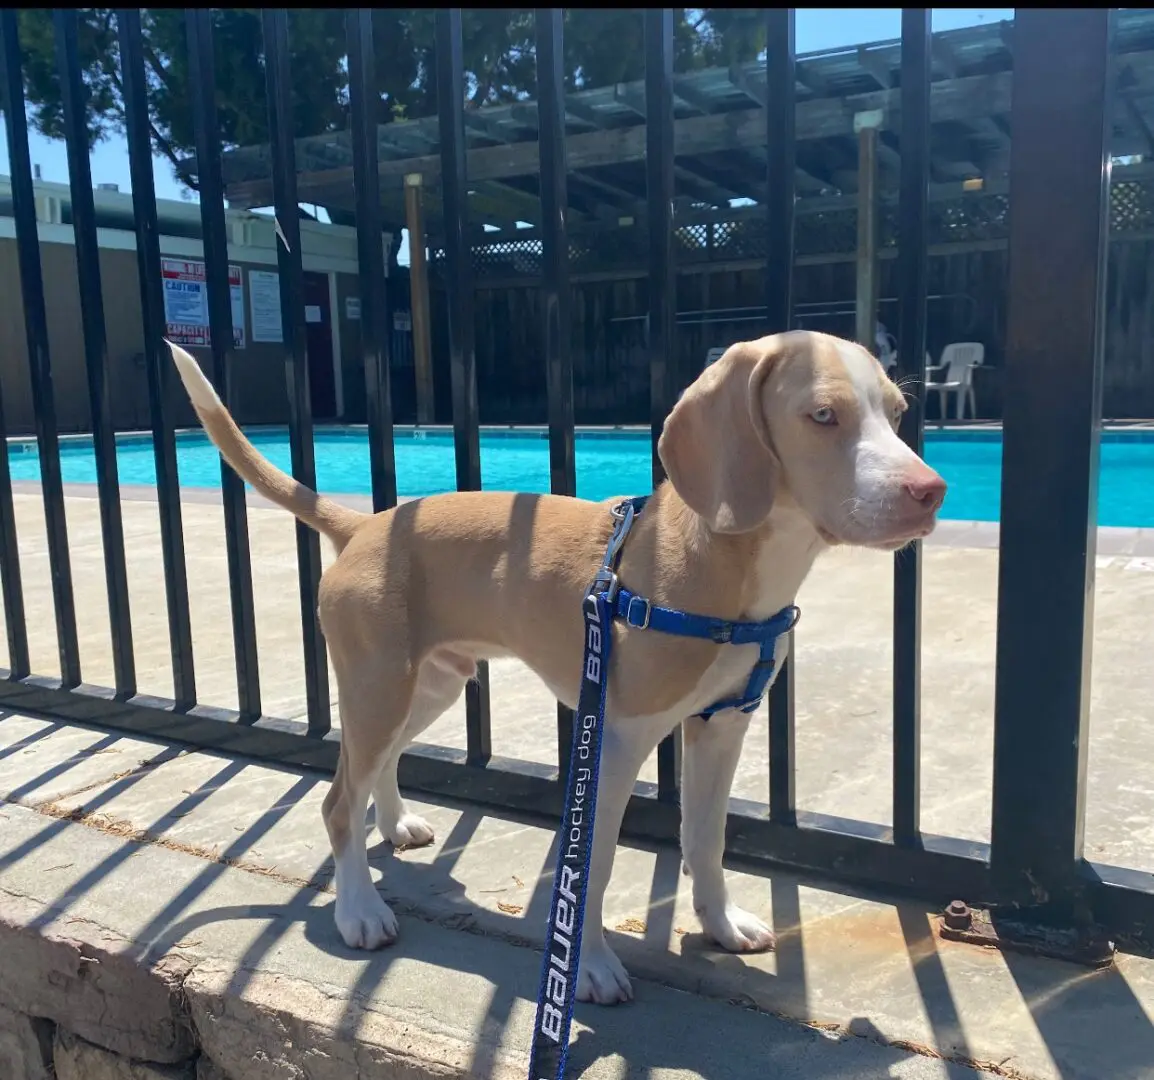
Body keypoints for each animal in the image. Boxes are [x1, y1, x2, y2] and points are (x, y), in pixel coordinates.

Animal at [168, 330, 946, 1006]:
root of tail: (364, 525)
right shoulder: (617, 739)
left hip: (427, 684)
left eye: (898, 414)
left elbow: (706, 839)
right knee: (335, 800)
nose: (930, 491)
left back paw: (391, 823)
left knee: (374, 766)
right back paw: (358, 908)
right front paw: (591, 967)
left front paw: (721, 926)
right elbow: (591, 866)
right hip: (377, 686)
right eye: (823, 415)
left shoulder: (723, 725)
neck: (726, 564)